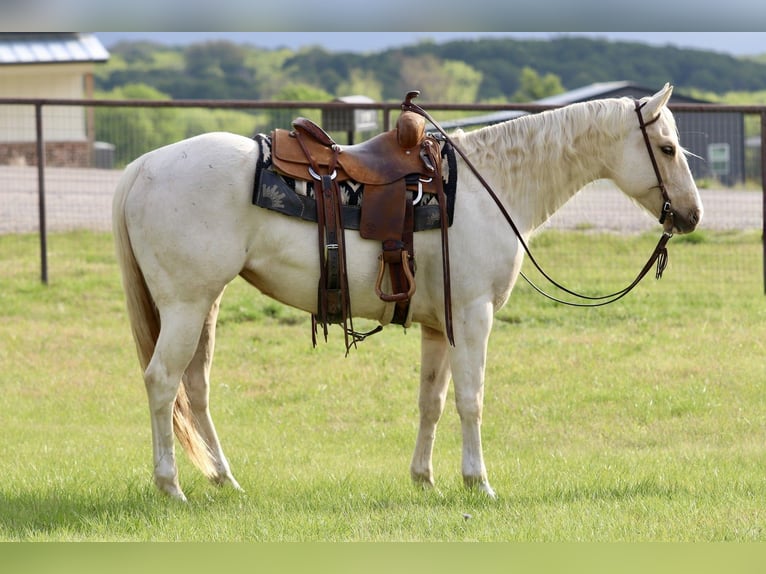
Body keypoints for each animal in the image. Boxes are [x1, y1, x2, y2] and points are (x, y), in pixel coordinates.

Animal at [112, 83, 702, 501]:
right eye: (668, 147)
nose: (692, 215)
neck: (491, 187)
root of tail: (144, 166)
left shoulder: (439, 326)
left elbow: (431, 401)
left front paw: (425, 479)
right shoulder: (473, 317)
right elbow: (470, 399)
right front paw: (478, 482)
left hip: (204, 306)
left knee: (195, 389)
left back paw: (225, 480)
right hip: (186, 306)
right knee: (163, 382)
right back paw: (171, 486)